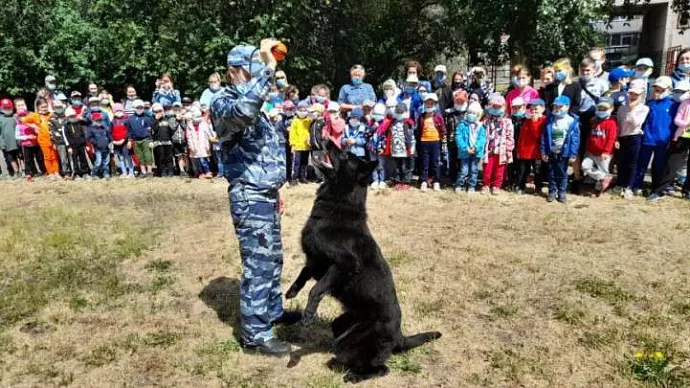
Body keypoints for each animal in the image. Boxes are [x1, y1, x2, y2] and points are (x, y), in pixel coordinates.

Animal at [284, 143, 440, 384]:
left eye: (346, 155)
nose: (325, 139)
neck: (338, 207)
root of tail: (399, 336)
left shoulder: (344, 265)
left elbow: (316, 289)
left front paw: (308, 315)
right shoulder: (315, 260)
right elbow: (303, 274)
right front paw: (291, 291)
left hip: (349, 343)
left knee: (380, 368)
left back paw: (353, 375)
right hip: (341, 324)